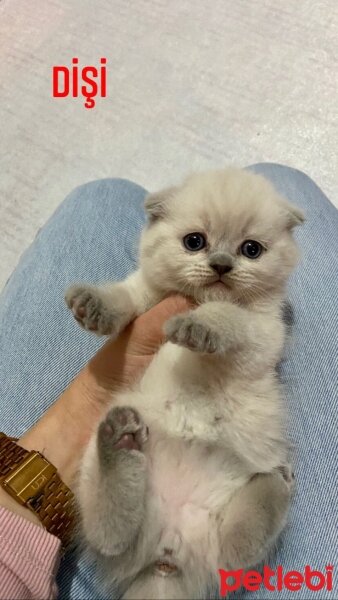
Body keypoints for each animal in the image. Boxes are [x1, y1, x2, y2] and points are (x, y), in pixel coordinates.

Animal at [64, 168, 302, 600]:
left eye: (251, 249)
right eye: (195, 242)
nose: (221, 264)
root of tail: (167, 553)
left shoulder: (261, 332)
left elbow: (226, 315)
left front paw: (197, 327)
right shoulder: (146, 296)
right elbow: (125, 296)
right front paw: (95, 305)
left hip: (222, 503)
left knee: (232, 551)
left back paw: (275, 482)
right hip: (97, 467)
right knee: (110, 534)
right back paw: (120, 442)